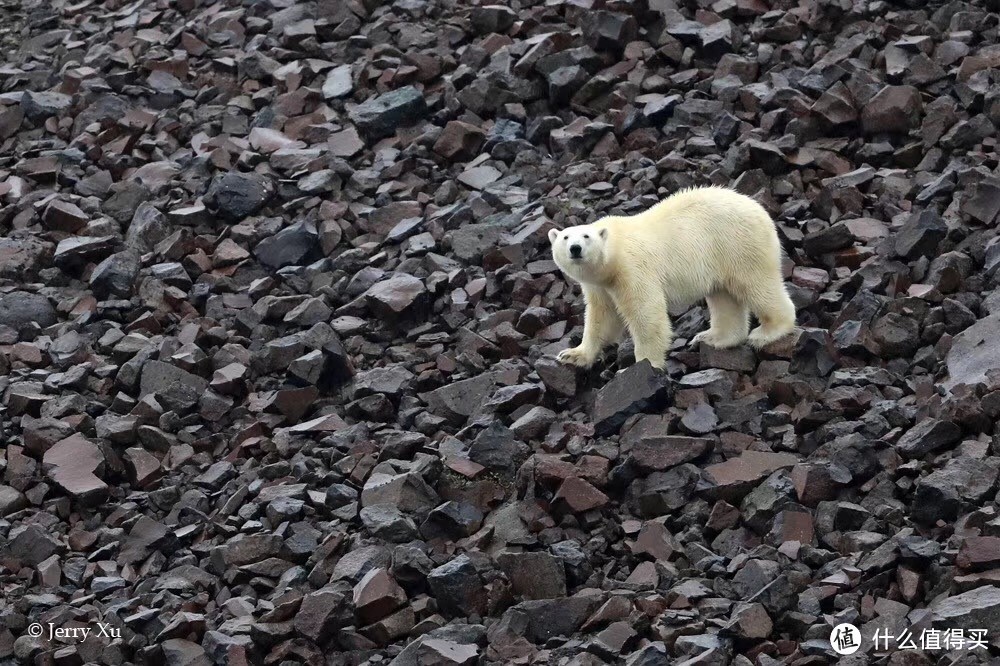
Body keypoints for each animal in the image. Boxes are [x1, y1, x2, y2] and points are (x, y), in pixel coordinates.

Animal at [548, 185, 796, 368]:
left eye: (586, 236)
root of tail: (759, 209)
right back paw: (713, 337)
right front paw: (571, 355)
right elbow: (602, 317)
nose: (575, 249)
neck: (614, 251)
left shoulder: (632, 269)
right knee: (724, 297)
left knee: (756, 285)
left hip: (739, 245)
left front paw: (643, 365)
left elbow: (646, 313)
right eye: (566, 237)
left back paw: (767, 332)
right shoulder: (599, 284)